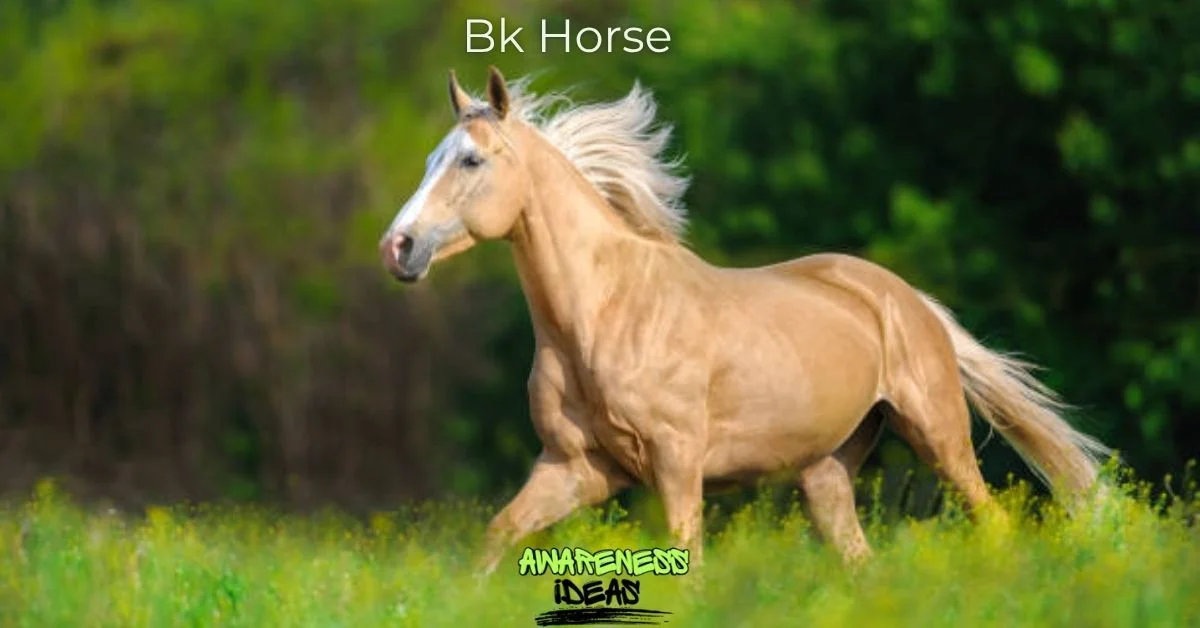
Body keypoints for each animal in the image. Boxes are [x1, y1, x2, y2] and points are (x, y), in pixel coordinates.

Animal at [379, 66, 1112, 573]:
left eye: (471, 159)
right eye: (429, 159)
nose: (398, 247)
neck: (604, 317)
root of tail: (905, 298)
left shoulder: (677, 462)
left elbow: (689, 566)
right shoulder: (575, 468)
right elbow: (497, 535)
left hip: (938, 433)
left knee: (992, 523)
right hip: (826, 472)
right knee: (861, 562)